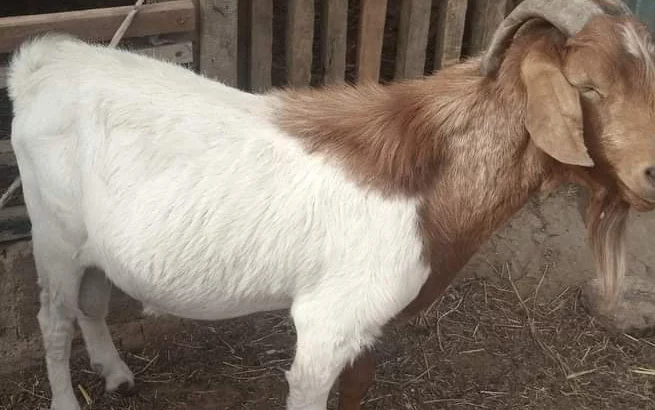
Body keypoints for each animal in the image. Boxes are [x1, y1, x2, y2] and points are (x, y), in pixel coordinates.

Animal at [7, 0, 655, 409]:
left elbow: (357, 388)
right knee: (53, 319)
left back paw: (117, 375)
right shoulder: (327, 323)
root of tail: (41, 64)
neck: (429, 179)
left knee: (91, 302)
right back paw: (67, 401)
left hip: (91, 243)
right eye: (588, 86)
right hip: (52, 236)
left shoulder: (366, 325)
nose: (652, 171)